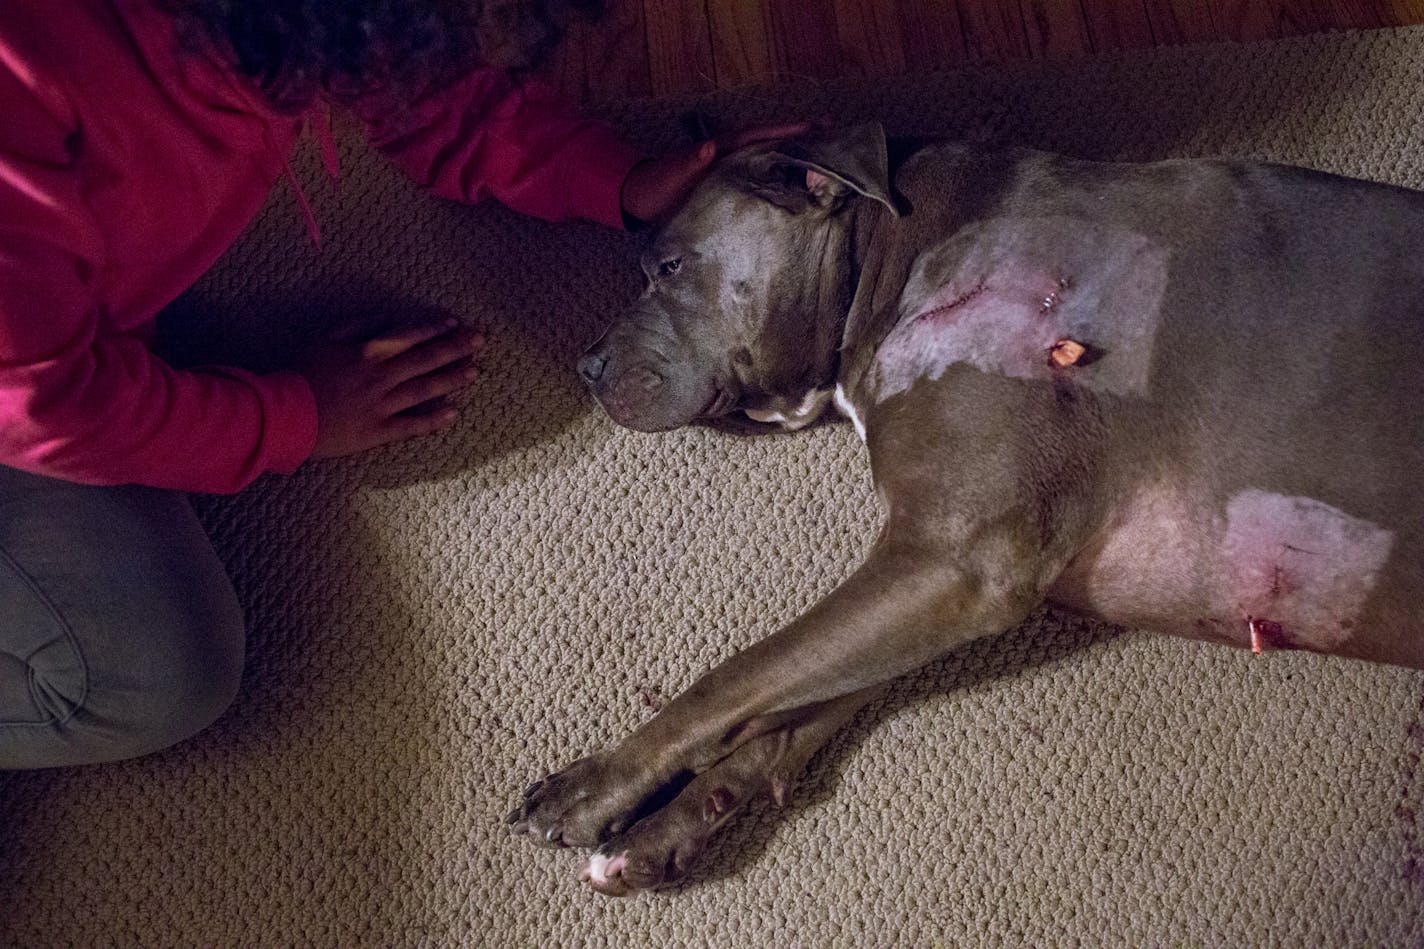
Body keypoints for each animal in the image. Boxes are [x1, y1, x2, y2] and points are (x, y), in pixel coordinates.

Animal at [506, 121, 1418, 889]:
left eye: (667, 266)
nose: (585, 367)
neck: (896, 259)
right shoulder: (936, 576)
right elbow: (789, 706)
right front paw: (670, 828)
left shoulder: (956, 559)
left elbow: (740, 675)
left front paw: (593, 787)